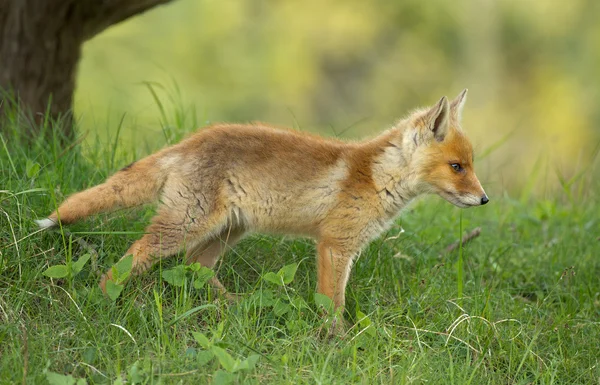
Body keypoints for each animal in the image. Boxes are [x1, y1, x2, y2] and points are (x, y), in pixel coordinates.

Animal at [36, 91, 488, 328]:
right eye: (457, 167)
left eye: (471, 164)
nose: (485, 200)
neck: (376, 177)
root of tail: (188, 142)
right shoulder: (334, 246)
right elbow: (333, 305)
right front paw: (336, 344)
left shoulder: (341, 247)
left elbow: (332, 302)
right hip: (186, 224)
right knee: (135, 255)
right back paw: (101, 299)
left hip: (228, 230)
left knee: (197, 268)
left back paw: (238, 307)